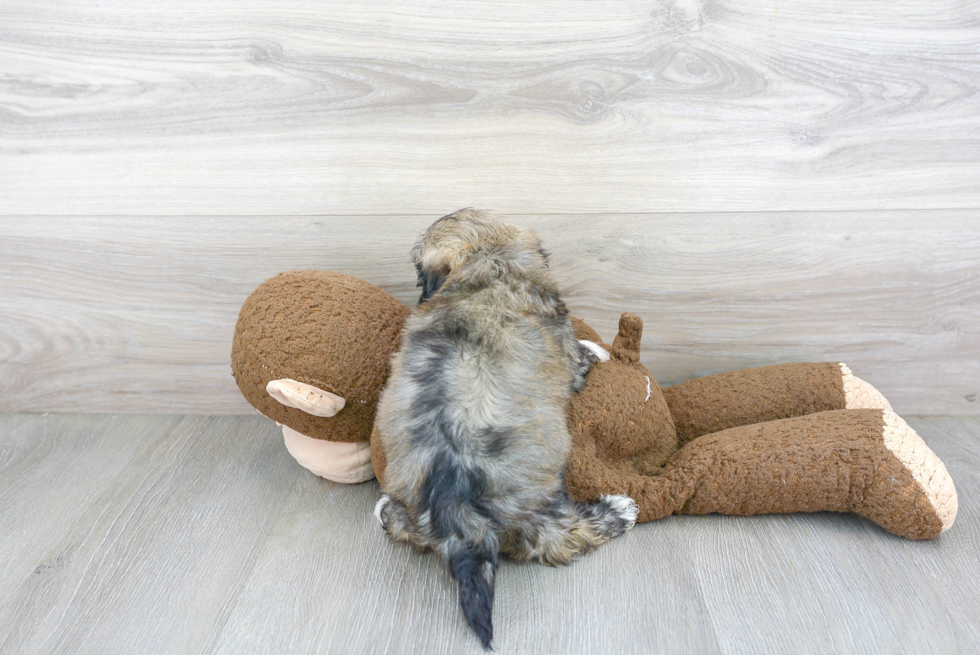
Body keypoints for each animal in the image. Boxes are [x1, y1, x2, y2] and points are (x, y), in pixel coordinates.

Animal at [372, 210, 640, 652]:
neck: (489, 268)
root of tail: (455, 508)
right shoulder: (564, 348)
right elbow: (580, 355)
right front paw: (599, 350)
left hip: (412, 500)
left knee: (402, 526)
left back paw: (383, 510)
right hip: (540, 510)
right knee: (567, 538)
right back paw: (619, 510)